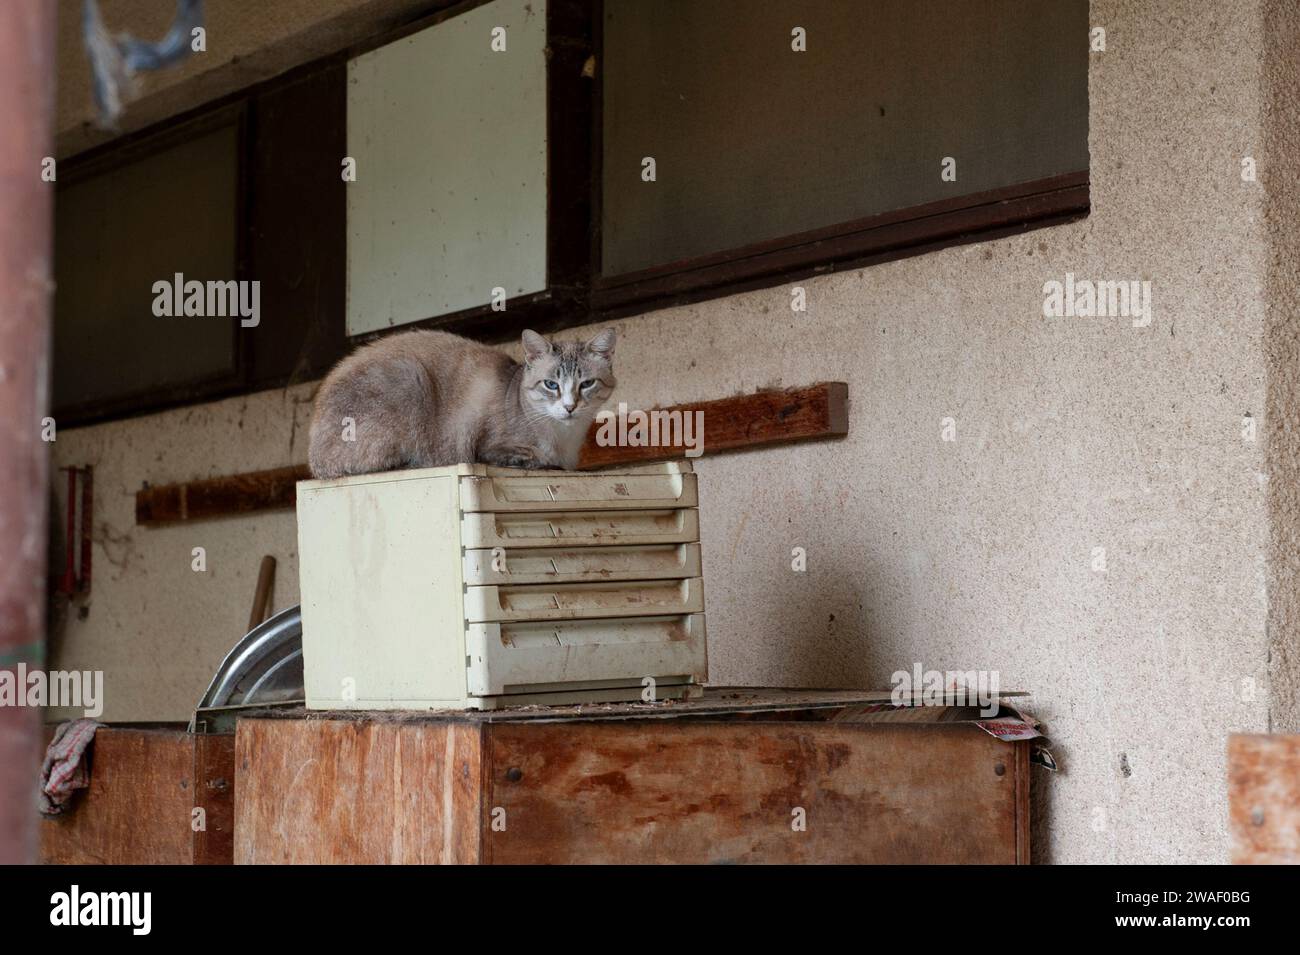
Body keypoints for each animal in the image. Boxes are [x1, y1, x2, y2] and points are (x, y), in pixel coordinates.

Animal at [306, 327, 616, 478]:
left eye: (586, 384)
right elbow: (536, 459)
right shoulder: (490, 448)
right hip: (410, 375)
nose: (570, 407)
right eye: (551, 385)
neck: (565, 438)